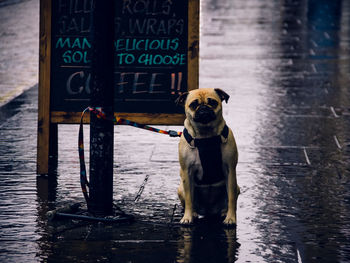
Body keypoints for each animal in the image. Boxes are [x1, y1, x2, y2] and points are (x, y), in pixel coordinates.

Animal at [176, 88, 239, 227]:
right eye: (193, 104)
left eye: (212, 102)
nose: (204, 108)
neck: (206, 136)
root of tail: (208, 211)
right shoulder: (187, 172)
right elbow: (189, 199)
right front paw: (187, 217)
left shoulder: (230, 170)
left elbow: (231, 198)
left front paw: (231, 218)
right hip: (180, 189)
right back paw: (194, 213)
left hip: (236, 187)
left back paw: (224, 212)